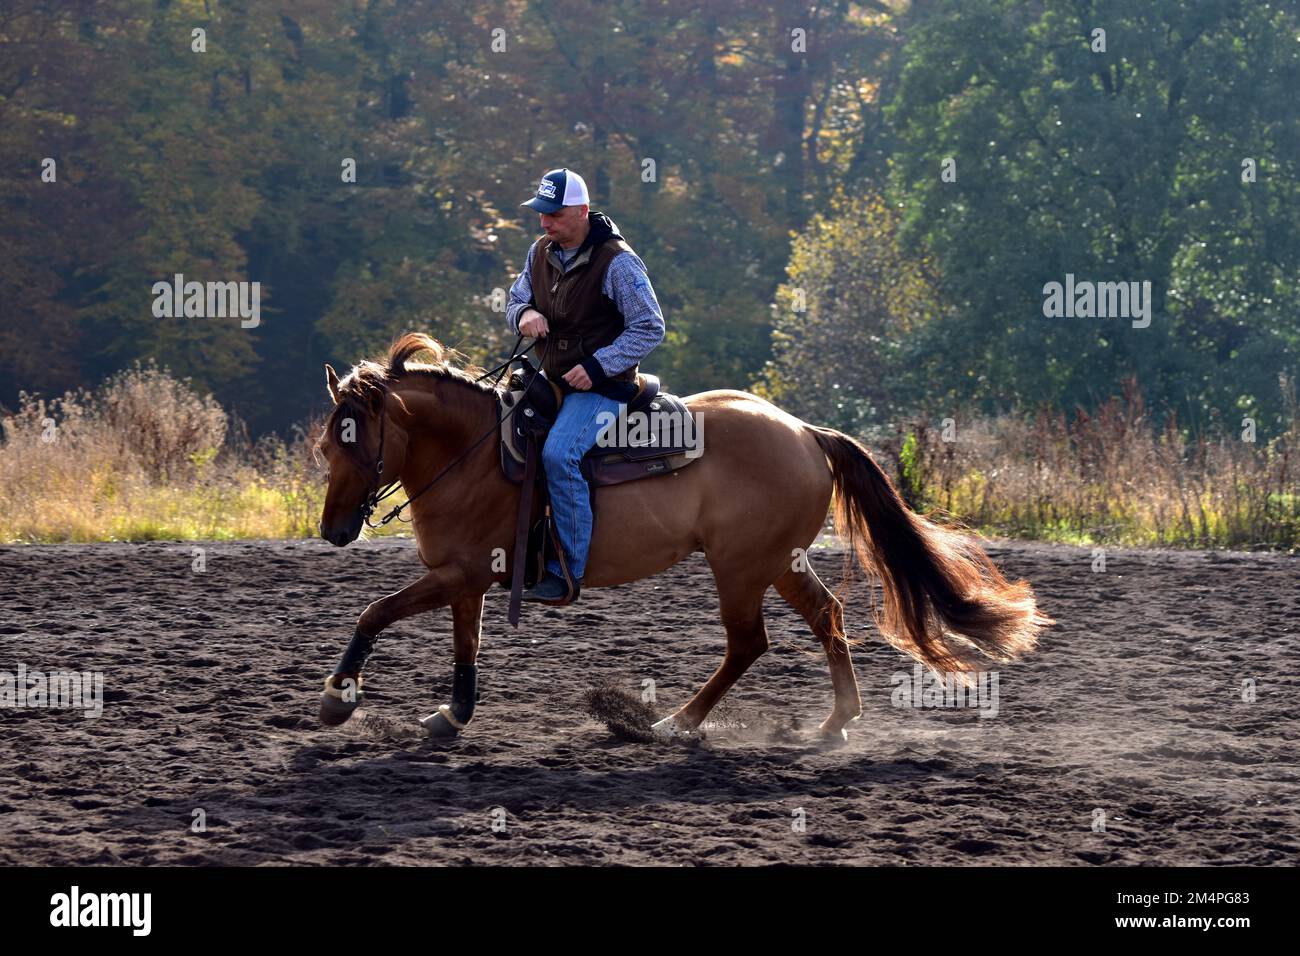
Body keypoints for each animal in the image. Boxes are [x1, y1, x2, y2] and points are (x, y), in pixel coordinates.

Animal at [319, 332, 1050, 743]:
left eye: (355, 443)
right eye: (328, 444)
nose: (332, 530)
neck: (475, 453)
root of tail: (805, 431)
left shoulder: (462, 573)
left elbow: (373, 612)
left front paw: (335, 701)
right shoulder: (465, 578)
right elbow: (464, 647)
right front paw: (453, 716)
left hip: (740, 567)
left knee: (749, 643)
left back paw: (675, 723)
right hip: (779, 561)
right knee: (828, 616)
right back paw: (835, 722)